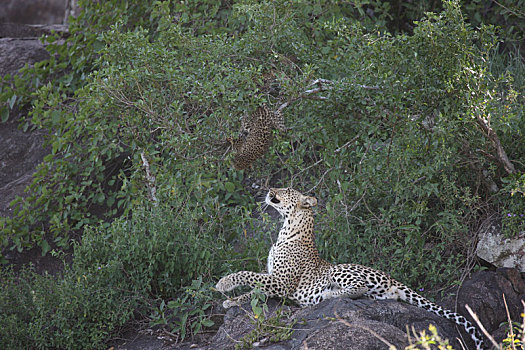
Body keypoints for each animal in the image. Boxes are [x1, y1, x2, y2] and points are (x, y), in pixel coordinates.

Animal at [216, 187, 484, 348]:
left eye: (288, 190)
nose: (271, 190)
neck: (286, 228)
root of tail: (392, 278)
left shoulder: (282, 283)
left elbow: (248, 275)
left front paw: (224, 283)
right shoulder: (273, 280)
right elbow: (254, 290)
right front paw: (231, 301)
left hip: (340, 270)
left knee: (358, 287)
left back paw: (329, 295)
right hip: (378, 291)